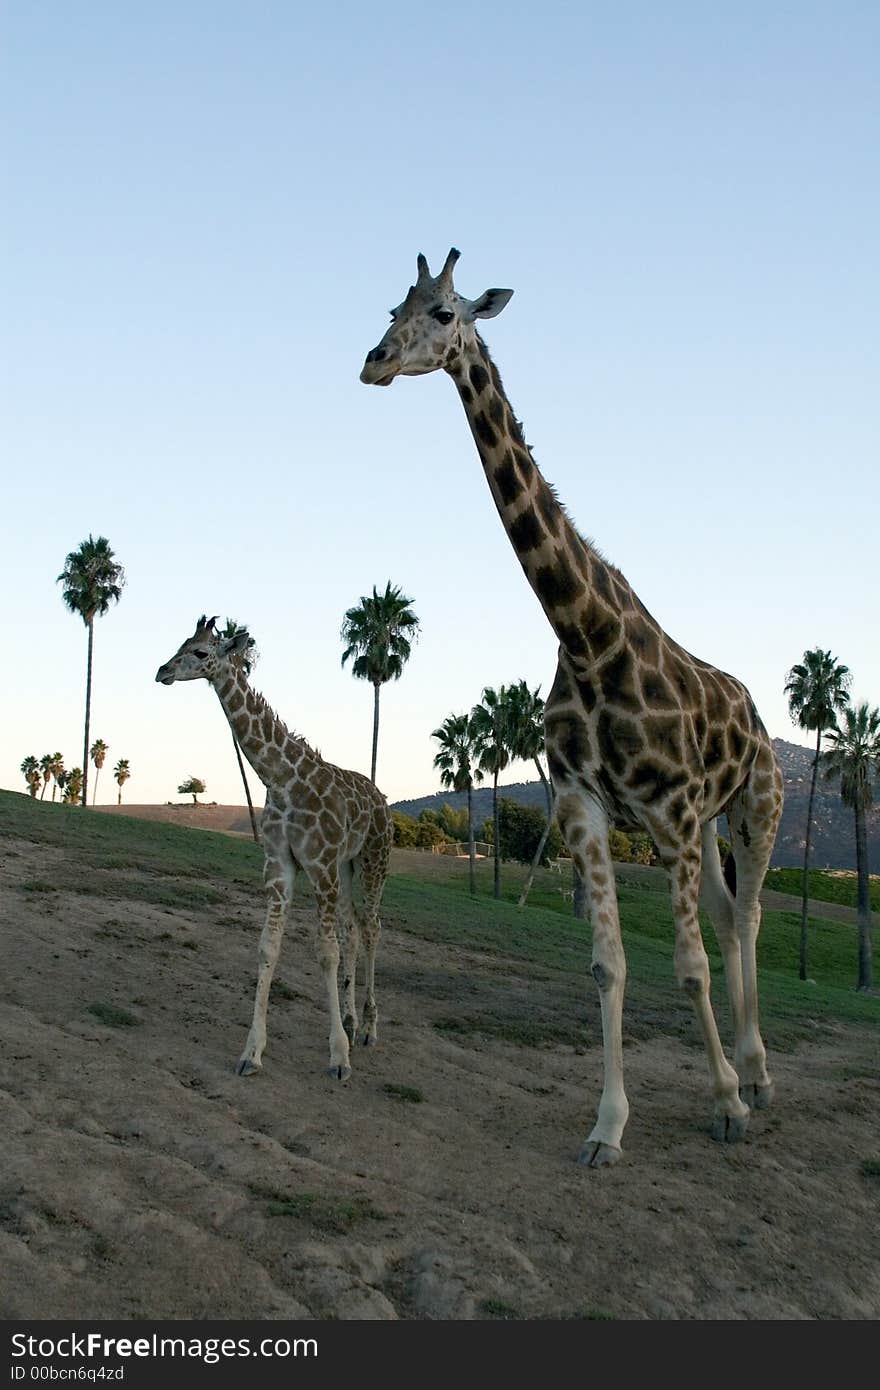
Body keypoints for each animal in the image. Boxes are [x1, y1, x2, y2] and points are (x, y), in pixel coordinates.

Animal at [156, 619, 392, 1084]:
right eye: (181, 644)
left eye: (200, 652)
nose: (162, 671)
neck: (281, 777)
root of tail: (382, 801)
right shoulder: (281, 865)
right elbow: (269, 948)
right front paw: (252, 1052)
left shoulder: (318, 866)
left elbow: (325, 953)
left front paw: (338, 1057)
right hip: (346, 866)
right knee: (354, 930)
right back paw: (352, 1020)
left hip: (373, 859)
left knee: (372, 927)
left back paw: (370, 1030)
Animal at [358, 247, 784, 1162]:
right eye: (393, 308)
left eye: (444, 312)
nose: (373, 361)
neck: (586, 636)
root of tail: (758, 715)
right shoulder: (588, 805)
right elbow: (607, 964)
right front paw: (608, 1126)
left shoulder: (669, 812)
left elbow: (688, 965)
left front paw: (725, 1104)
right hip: (707, 824)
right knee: (729, 915)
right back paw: (748, 1068)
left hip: (753, 807)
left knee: (751, 915)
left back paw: (759, 1077)